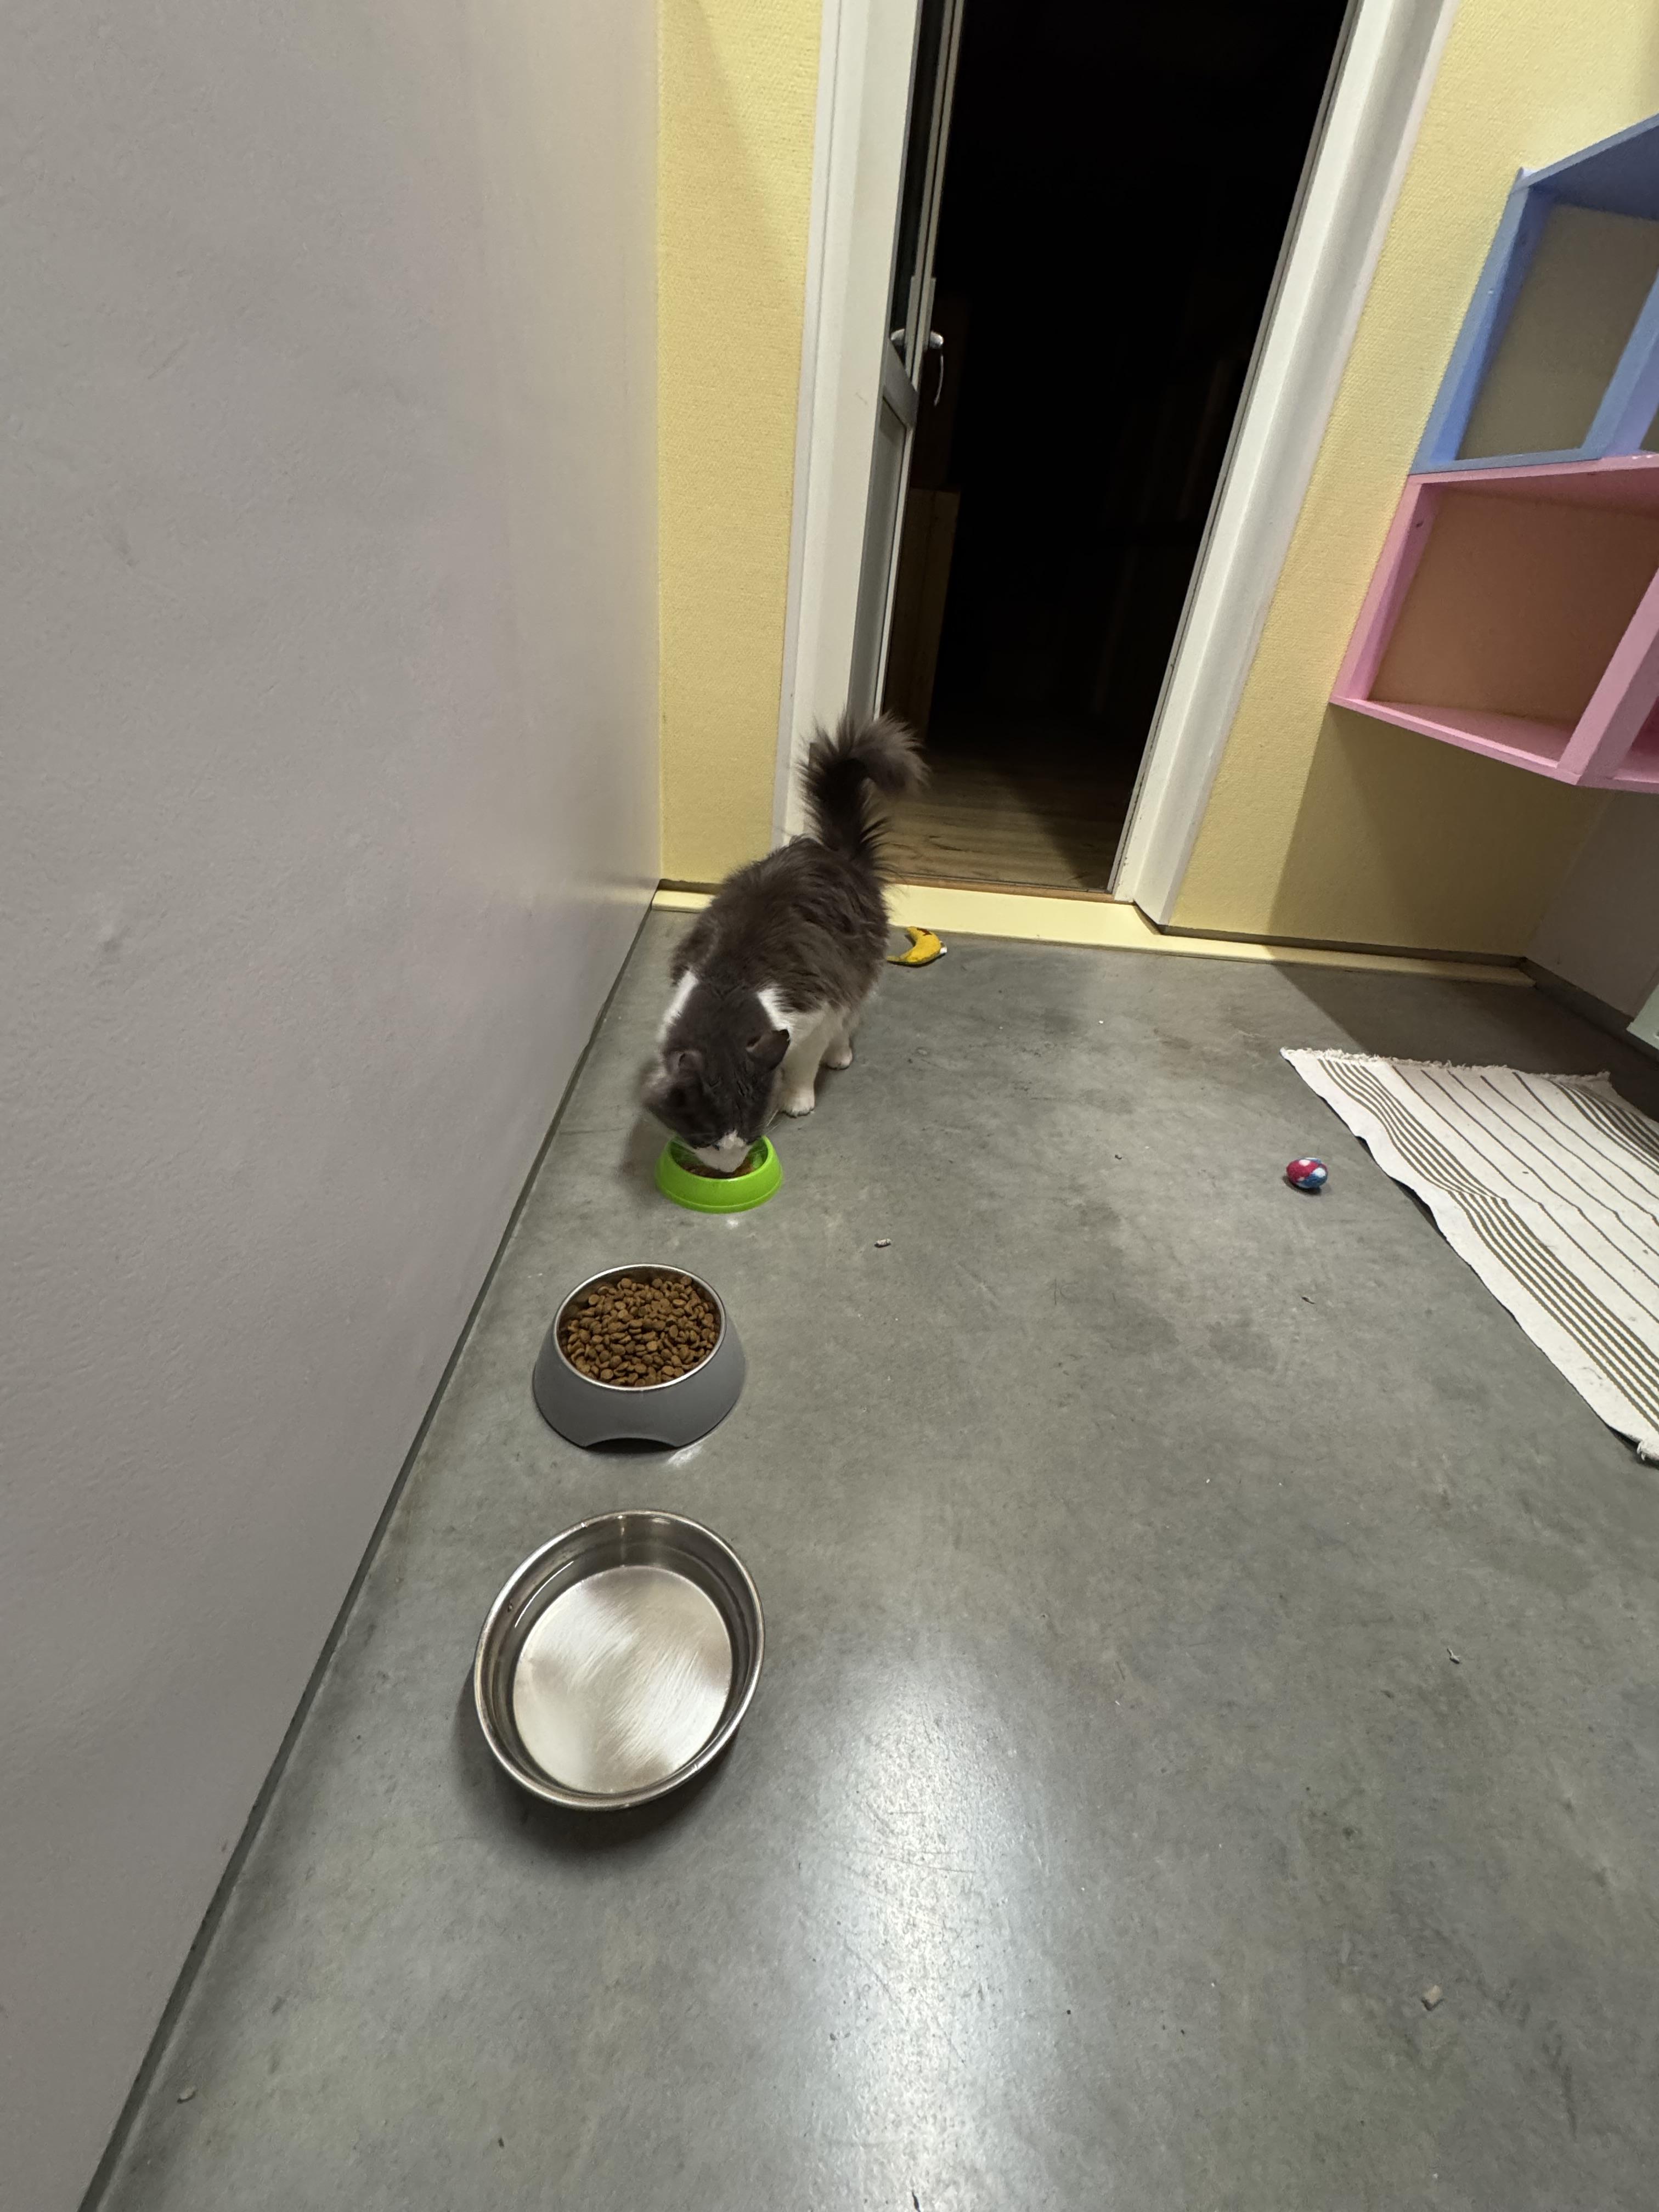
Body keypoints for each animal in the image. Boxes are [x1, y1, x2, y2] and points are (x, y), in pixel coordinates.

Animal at [643, 710, 925, 1170]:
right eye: (708, 1141)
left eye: (752, 1136)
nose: (730, 1170)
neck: (730, 986)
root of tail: (835, 855)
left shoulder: (819, 1012)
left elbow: (805, 1063)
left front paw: (798, 1099)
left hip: (859, 968)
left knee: (853, 1014)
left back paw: (840, 1054)